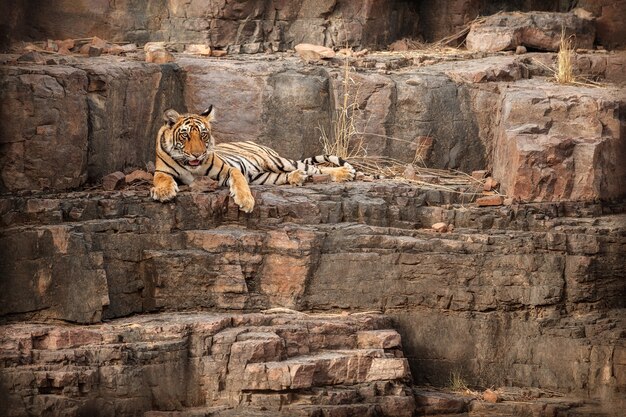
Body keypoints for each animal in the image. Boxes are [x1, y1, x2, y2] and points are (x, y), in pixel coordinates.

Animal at [150, 105, 356, 213]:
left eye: (203, 135)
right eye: (185, 136)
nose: (197, 154)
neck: (192, 167)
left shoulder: (228, 170)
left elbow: (239, 181)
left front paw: (246, 201)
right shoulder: (162, 170)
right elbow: (161, 178)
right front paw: (163, 192)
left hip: (277, 162)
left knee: (315, 168)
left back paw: (346, 172)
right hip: (263, 176)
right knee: (292, 174)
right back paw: (297, 177)